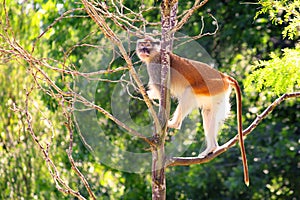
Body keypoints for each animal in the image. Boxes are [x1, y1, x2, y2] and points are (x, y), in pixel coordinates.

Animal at [137, 36, 250, 186]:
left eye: (147, 46)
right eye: (142, 45)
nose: (143, 50)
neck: (156, 53)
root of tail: (223, 76)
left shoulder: (156, 66)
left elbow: (161, 91)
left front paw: (145, 94)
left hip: (212, 86)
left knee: (189, 92)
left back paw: (173, 124)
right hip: (218, 94)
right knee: (208, 113)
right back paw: (211, 148)